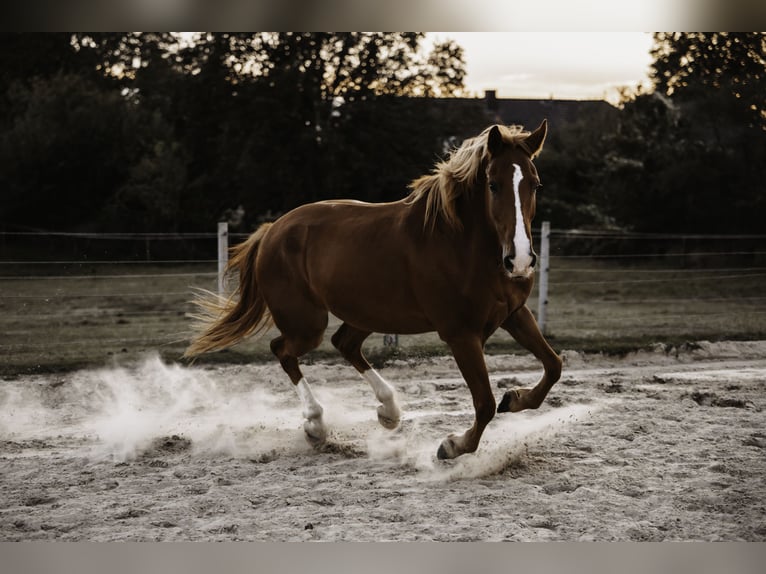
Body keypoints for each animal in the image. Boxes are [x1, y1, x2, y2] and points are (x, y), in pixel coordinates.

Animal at [184, 121, 562, 460]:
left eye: (536, 184)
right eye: (493, 184)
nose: (520, 260)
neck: (463, 244)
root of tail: (271, 231)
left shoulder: (514, 314)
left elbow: (553, 366)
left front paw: (515, 398)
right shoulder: (461, 334)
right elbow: (484, 403)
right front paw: (453, 445)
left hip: (365, 312)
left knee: (344, 344)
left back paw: (388, 411)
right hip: (308, 323)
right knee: (283, 349)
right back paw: (316, 425)